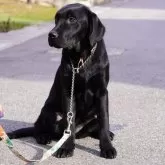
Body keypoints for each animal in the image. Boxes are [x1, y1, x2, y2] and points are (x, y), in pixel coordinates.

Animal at [7, 3, 116, 159]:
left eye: (72, 19)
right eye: (56, 19)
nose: (51, 35)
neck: (82, 58)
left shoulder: (102, 92)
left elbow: (104, 121)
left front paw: (107, 147)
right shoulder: (68, 91)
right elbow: (69, 124)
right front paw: (67, 147)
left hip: (91, 116)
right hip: (50, 112)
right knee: (39, 129)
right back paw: (43, 137)